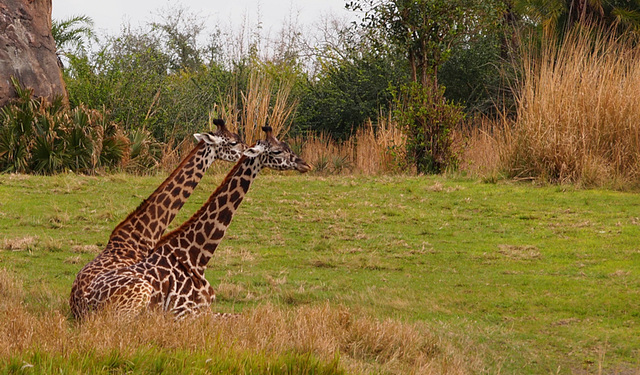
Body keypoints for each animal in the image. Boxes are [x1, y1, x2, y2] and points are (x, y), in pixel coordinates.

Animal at [85, 127, 312, 320]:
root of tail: (85, 305)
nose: (305, 164)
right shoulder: (183, 314)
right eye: (277, 151)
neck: (196, 257)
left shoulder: (205, 309)